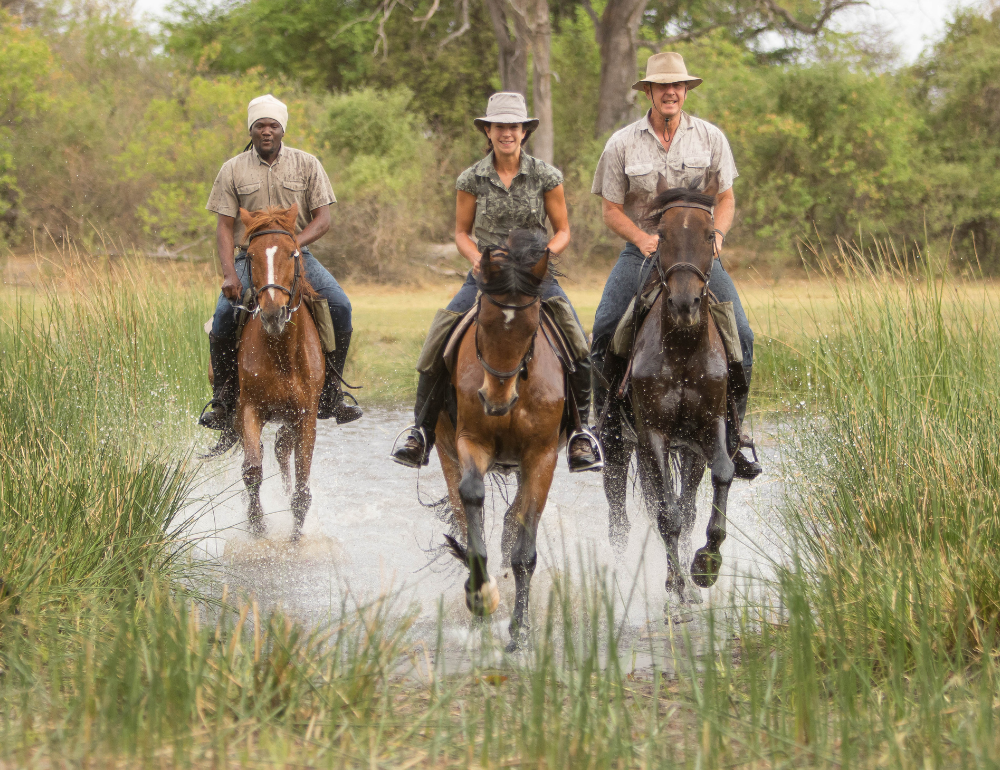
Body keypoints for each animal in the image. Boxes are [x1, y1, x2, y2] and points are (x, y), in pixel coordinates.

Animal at [230, 206, 324, 540]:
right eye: (251, 255)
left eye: (291, 253)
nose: (273, 314)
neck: (281, 352)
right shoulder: (249, 408)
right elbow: (252, 470)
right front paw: (257, 526)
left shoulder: (306, 414)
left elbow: (302, 489)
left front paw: (295, 538)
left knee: (282, 448)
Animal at [436, 228, 568, 648]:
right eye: (483, 322)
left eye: (530, 327)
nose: (495, 401)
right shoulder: (471, 442)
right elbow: (472, 499)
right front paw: (481, 594)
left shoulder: (542, 456)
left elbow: (524, 548)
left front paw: (520, 631)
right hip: (445, 448)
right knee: (463, 512)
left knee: (514, 522)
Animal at [600, 176, 736, 616]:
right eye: (661, 235)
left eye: (710, 235)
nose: (684, 304)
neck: (683, 346)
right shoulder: (654, 436)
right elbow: (666, 515)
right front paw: (676, 590)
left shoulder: (710, 428)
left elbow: (721, 476)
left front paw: (705, 567)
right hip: (621, 447)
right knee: (620, 519)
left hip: (687, 450)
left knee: (687, 504)